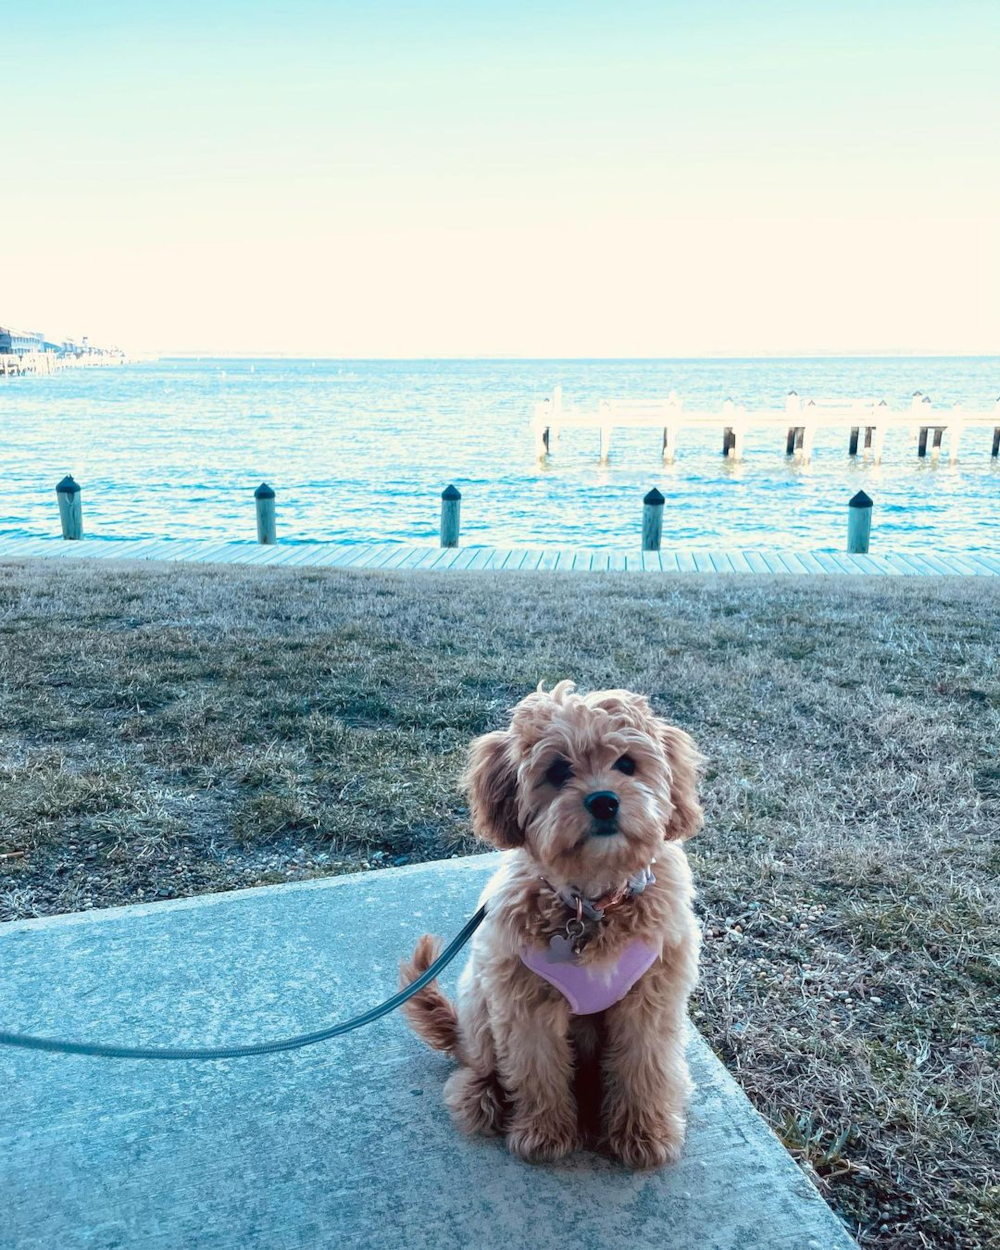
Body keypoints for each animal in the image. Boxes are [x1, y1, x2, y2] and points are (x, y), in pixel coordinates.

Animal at [397, 680, 705, 1165]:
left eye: (627, 764)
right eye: (559, 771)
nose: (604, 801)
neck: (591, 904)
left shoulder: (651, 998)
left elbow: (644, 1064)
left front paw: (643, 1134)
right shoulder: (525, 1002)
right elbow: (536, 1068)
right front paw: (545, 1133)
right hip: (479, 998)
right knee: (479, 1063)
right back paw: (481, 1097)